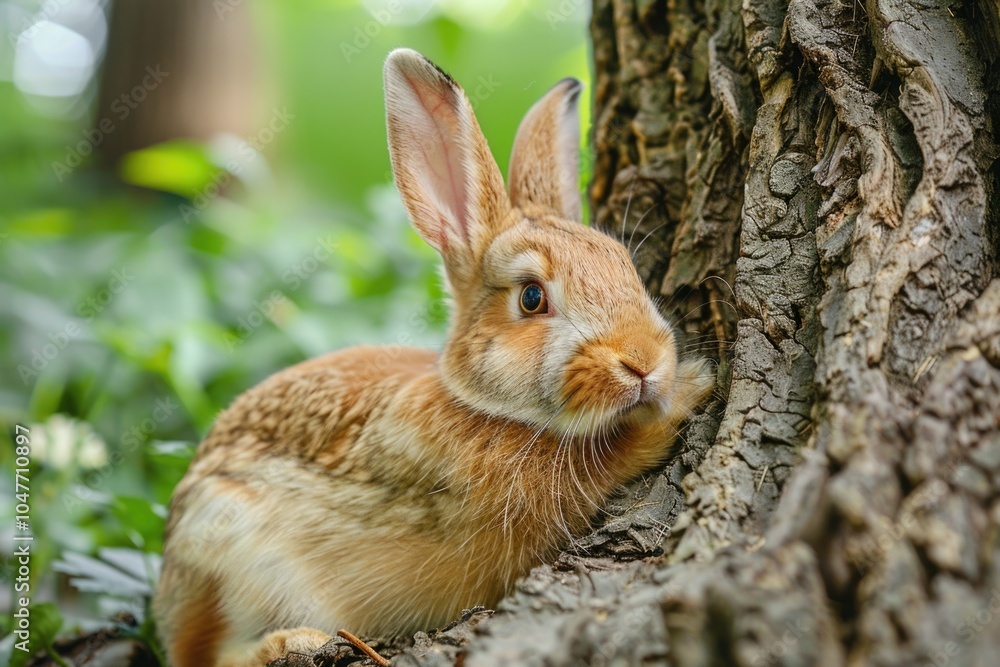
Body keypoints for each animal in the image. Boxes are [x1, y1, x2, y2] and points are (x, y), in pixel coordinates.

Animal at [153, 48, 714, 667]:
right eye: (531, 298)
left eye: (626, 267)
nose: (644, 361)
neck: (485, 406)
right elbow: (611, 455)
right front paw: (690, 391)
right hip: (229, 549)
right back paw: (294, 641)